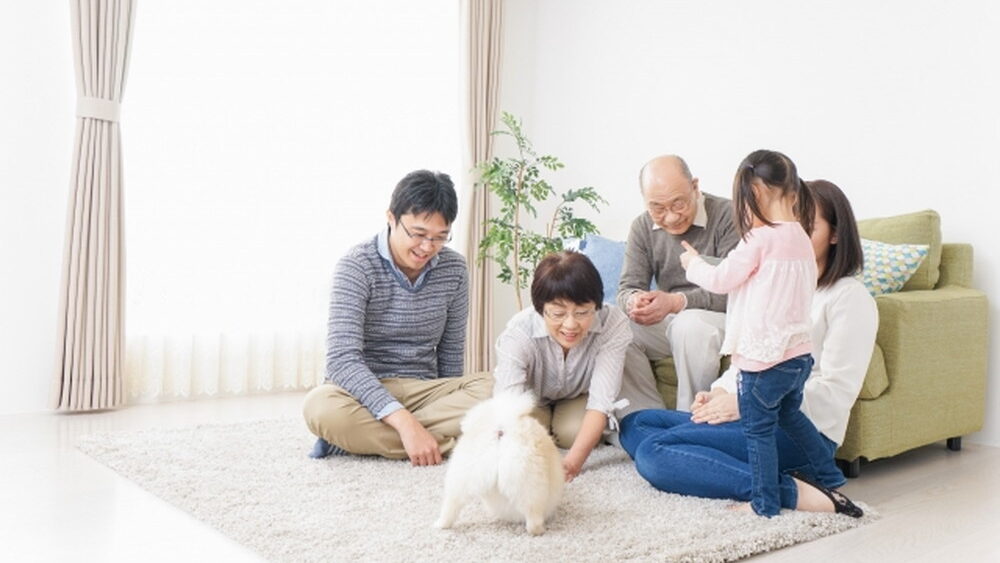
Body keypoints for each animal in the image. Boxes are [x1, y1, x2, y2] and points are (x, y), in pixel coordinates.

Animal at [436, 390, 568, 536]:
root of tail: (501, 430)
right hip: (530, 484)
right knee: (533, 518)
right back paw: (539, 531)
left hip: (461, 476)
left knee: (451, 505)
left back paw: (441, 524)